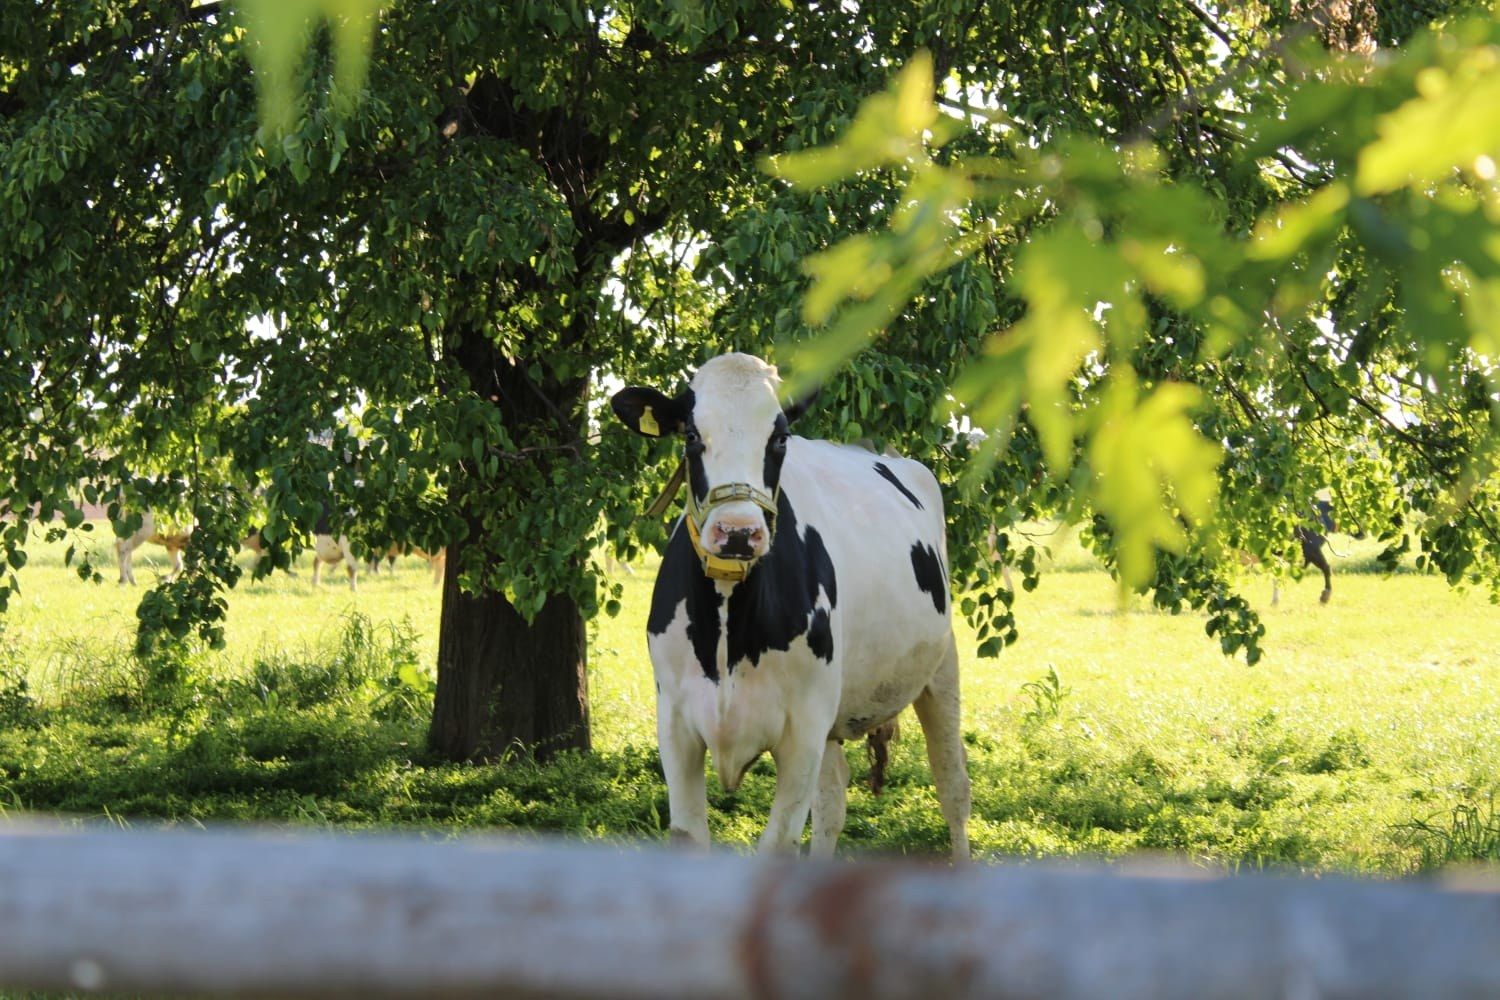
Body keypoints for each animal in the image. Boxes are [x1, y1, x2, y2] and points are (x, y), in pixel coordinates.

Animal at [611, 353, 970, 858]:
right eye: (691, 435)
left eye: (779, 437)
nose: (738, 532)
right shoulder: (676, 725)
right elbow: (689, 838)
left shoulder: (803, 731)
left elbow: (779, 846)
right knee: (833, 801)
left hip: (940, 668)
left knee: (952, 785)